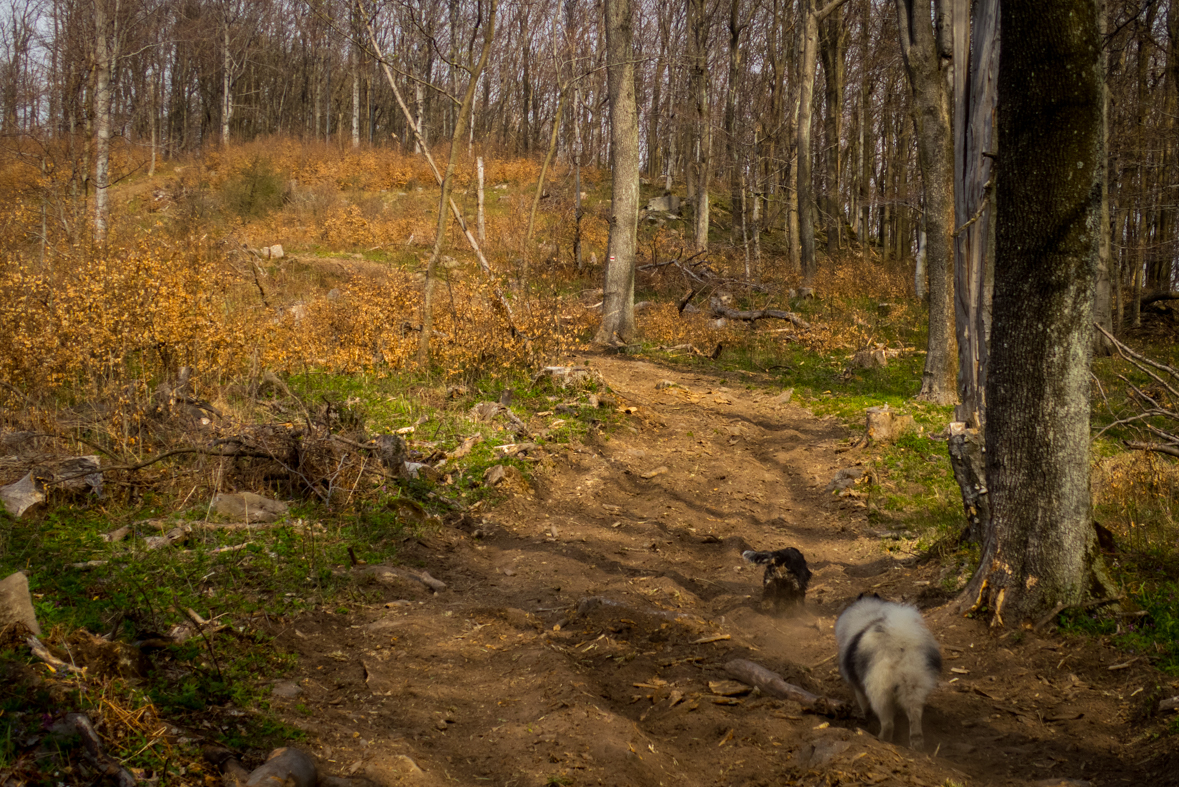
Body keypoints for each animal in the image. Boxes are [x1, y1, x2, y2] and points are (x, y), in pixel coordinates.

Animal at [834, 596, 943, 749]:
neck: (868, 614)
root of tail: (900, 644)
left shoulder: (858, 687)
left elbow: (865, 708)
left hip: (880, 691)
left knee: (888, 723)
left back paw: (882, 738)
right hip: (914, 685)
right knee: (915, 715)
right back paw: (916, 742)